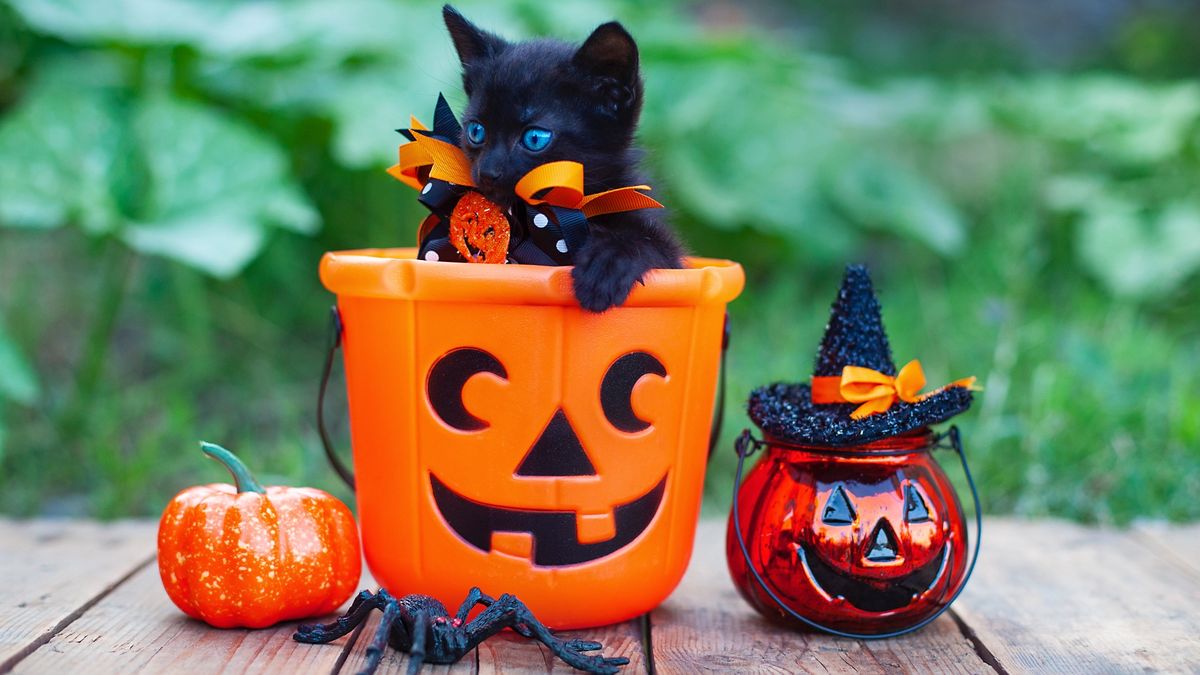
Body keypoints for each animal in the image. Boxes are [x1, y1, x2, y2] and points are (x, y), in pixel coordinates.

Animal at [441, 5, 686, 312]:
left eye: (535, 138)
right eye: (476, 131)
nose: (487, 171)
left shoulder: (673, 259)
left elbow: (650, 241)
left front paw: (606, 264)